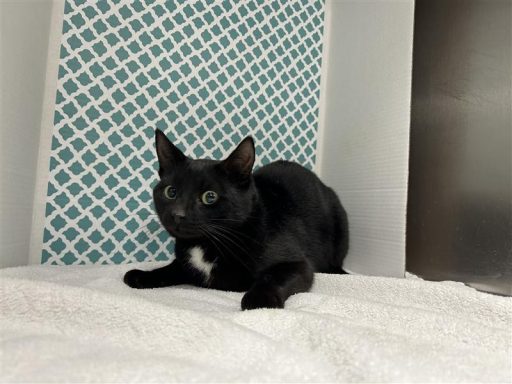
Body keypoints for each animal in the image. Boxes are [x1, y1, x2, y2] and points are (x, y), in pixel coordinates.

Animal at [124, 130, 348, 310]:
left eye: (210, 196)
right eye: (171, 192)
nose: (178, 214)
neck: (204, 244)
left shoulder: (298, 265)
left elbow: (272, 277)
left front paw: (259, 299)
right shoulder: (186, 263)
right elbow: (172, 268)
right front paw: (143, 275)